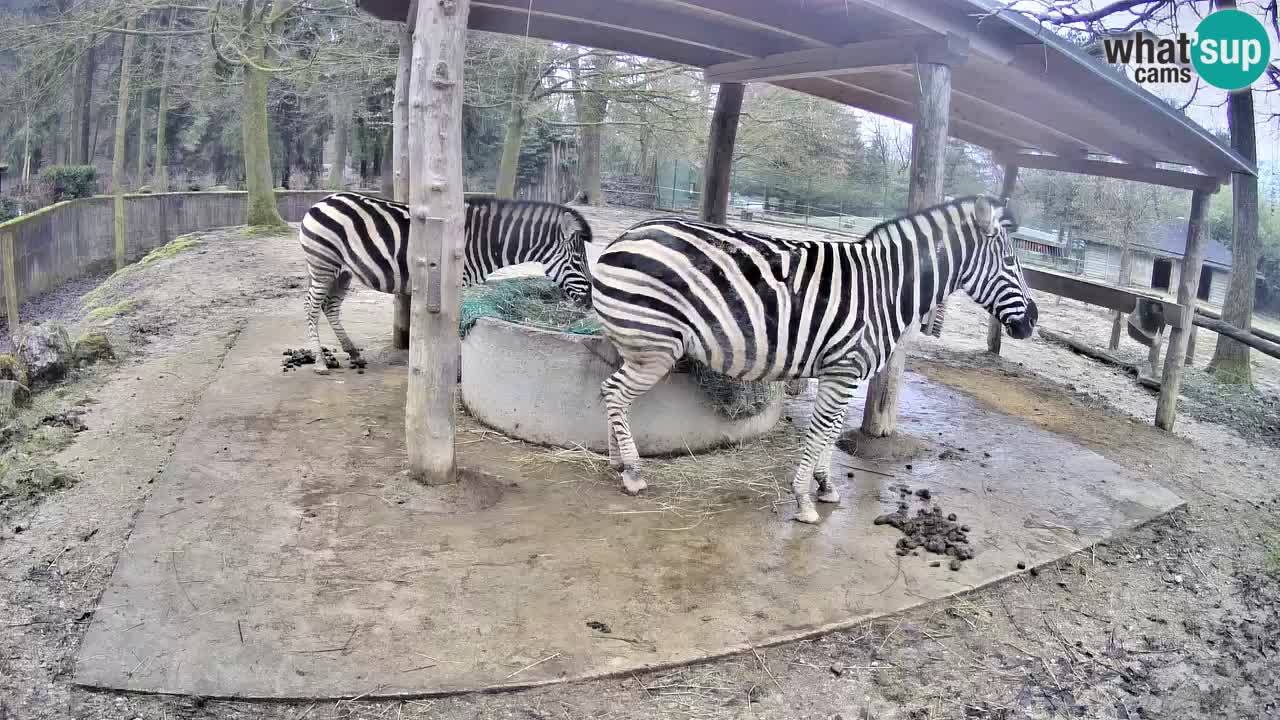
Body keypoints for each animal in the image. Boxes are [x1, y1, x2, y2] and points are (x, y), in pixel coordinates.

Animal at [298, 191, 593, 374]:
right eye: (579, 260)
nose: (590, 302)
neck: (483, 239)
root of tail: (321, 201)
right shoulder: (455, 280)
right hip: (323, 264)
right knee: (311, 307)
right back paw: (320, 362)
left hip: (343, 272)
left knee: (330, 307)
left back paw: (352, 353)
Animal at [590, 195, 1037, 524]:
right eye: (1010, 263)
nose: (1033, 320)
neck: (887, 289)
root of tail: (626, 235)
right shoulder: (843, 369)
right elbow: (820, 431)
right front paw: (804, 499)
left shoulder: (844, 372)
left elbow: (831, 430)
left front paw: (825, 486)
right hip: (655, 346)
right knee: (614, 393)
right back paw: (632, 473)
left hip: (640, 345)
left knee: (611, 393)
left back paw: (616, 462)